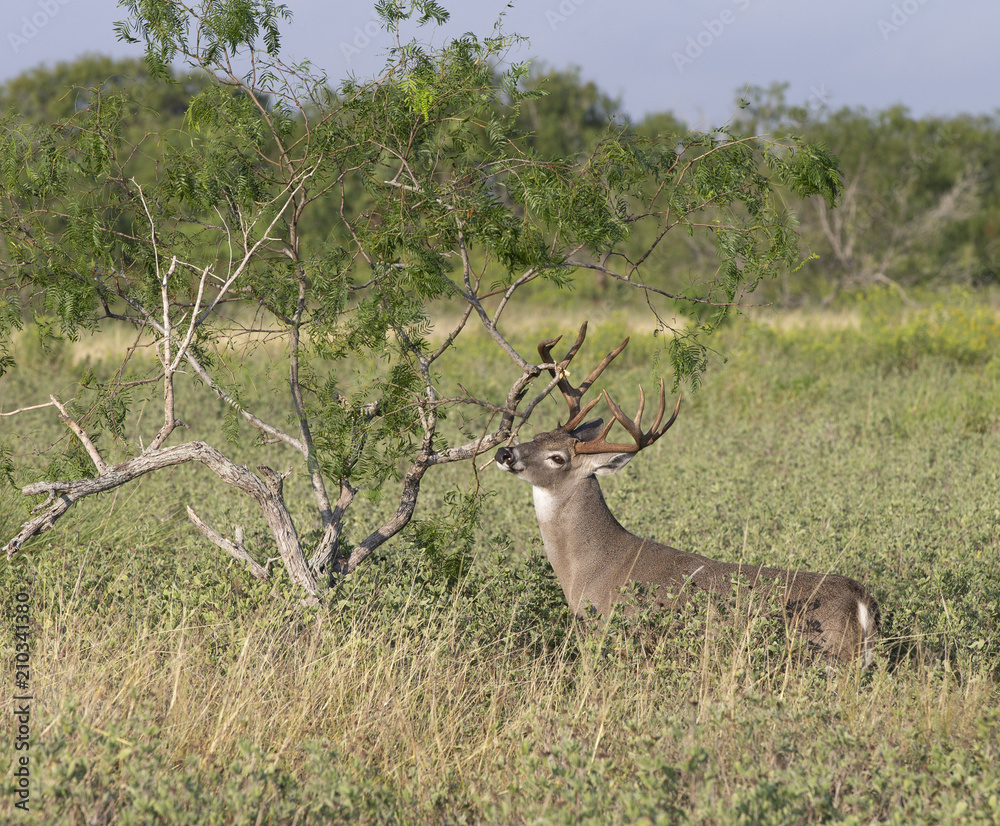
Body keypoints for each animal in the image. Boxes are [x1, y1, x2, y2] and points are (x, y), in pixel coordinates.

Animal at [494, 323, 880, 664]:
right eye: (537, 435)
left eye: (557, 458)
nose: (504, 453)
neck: (589, 566)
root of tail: (860, 600)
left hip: (828, 657)